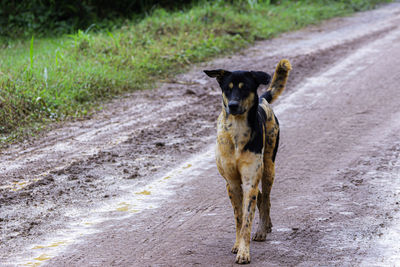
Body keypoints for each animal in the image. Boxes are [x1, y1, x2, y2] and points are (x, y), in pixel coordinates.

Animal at [205, 59, 292, 264]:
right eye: (227, 89)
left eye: (245, 88)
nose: (233, 105)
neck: (237, 130)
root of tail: (263, 100)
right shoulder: (232, 183)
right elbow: (239, 217)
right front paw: (238, 245)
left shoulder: (250, 178)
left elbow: (247, 218)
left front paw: (244, 252)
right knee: (260, 197)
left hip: (268, 167)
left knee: (265, 198)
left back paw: (262, 229)